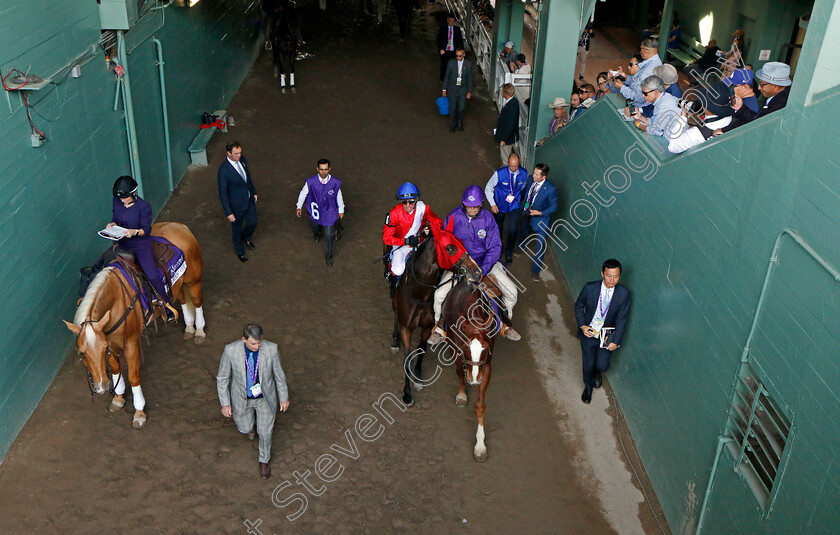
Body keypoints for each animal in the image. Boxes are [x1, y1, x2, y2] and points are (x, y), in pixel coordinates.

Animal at [63, 221, 204, 428]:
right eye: (81, 353)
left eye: (102, 349)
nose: (102, 387)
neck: (116, 302)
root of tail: (179, 226)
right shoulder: (111, 344)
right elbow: (116, 370)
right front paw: (118, 398)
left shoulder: (129, 344)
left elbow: (133, 375)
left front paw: (139, 412)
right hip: (176, 285)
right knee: (183, 300)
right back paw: (188, 327)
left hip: (193, 279)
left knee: (196, 301)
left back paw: (199, 331)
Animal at [386, 228, 480, 408]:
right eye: (450, 248)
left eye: (461, 242)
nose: (477, 272)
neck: (419, 293)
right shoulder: (406, 327)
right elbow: (407, 358)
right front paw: (407, 394)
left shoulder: (428, 325)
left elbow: (421, 350)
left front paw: (418, 377)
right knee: (394, 310)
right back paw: (394, 340)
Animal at [436, 278, 502, 462]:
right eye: (466, 348)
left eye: (485, 349)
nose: (474, 379)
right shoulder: (456, 350)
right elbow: (459, 371)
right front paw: (461, 394)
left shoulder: (486, 366)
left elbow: (480, 405)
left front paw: (480, 446)